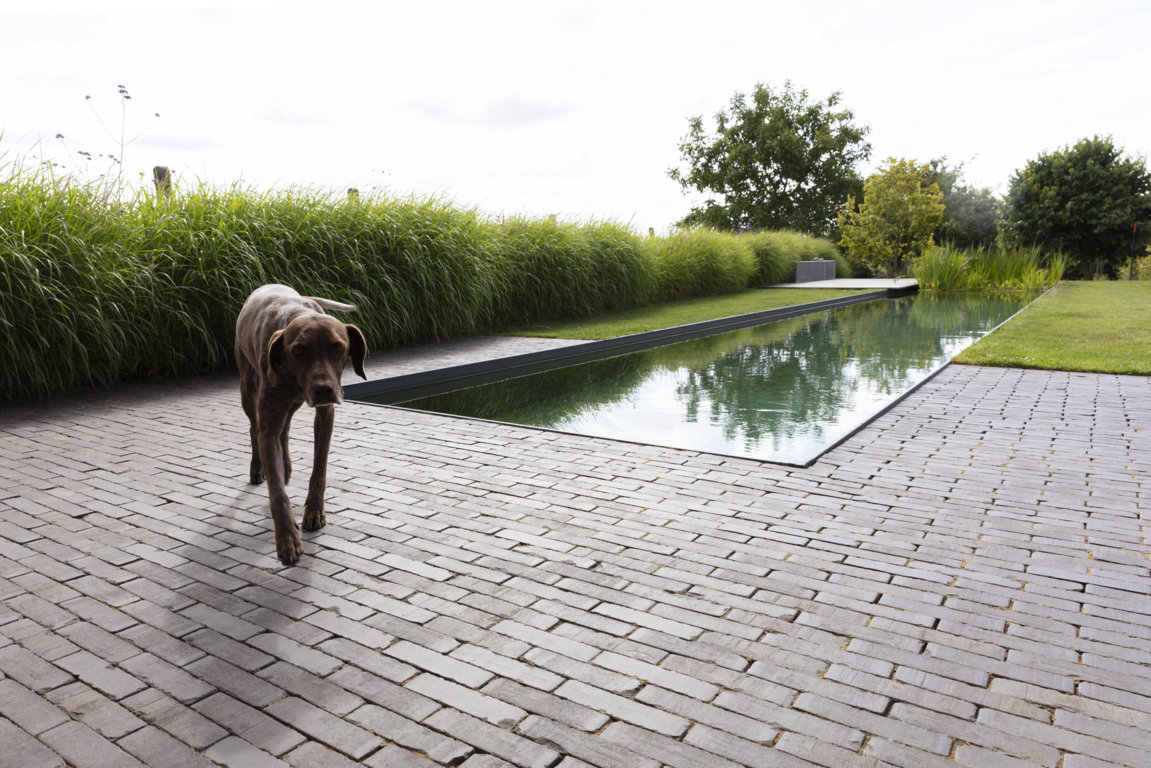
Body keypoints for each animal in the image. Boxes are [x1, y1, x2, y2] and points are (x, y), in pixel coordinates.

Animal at [235, 284, 367, 565]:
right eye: (298, 351)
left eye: (338, 348)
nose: (324, 389)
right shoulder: (268, 425)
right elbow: (277, 493)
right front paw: (287, 540)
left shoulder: (325, 415)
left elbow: (319, 469)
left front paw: (315, 512)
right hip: (247, 386)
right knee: (254, 427)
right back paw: (257, 468)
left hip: (293, 402)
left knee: (285, 429)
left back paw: (285, 464)